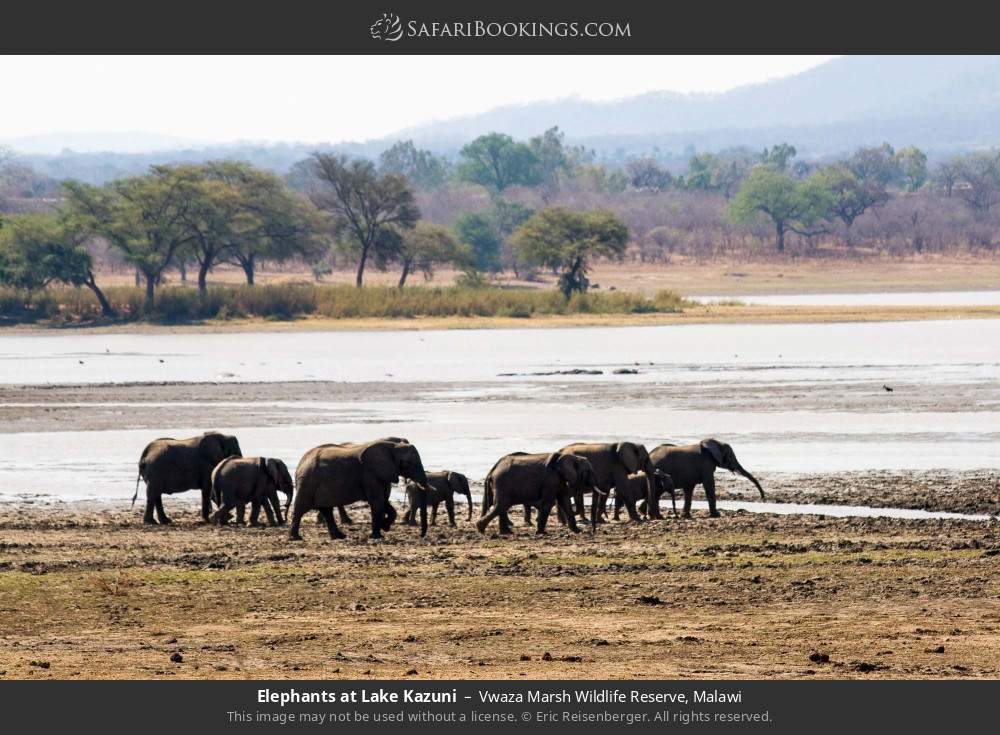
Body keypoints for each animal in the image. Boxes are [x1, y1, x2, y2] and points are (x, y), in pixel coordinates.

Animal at [289, 439, 430, 541]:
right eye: (411, 464)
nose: (421, 535)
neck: (393, 447)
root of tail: (301, 463)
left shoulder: (382, 475)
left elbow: (384, 502)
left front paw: (384, 526)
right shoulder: (370, 474)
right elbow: (377, 501)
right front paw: (378, 535)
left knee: (326, 510)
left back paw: (340, 536)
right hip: (307, 482)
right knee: (300, 508)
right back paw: (295, 538)